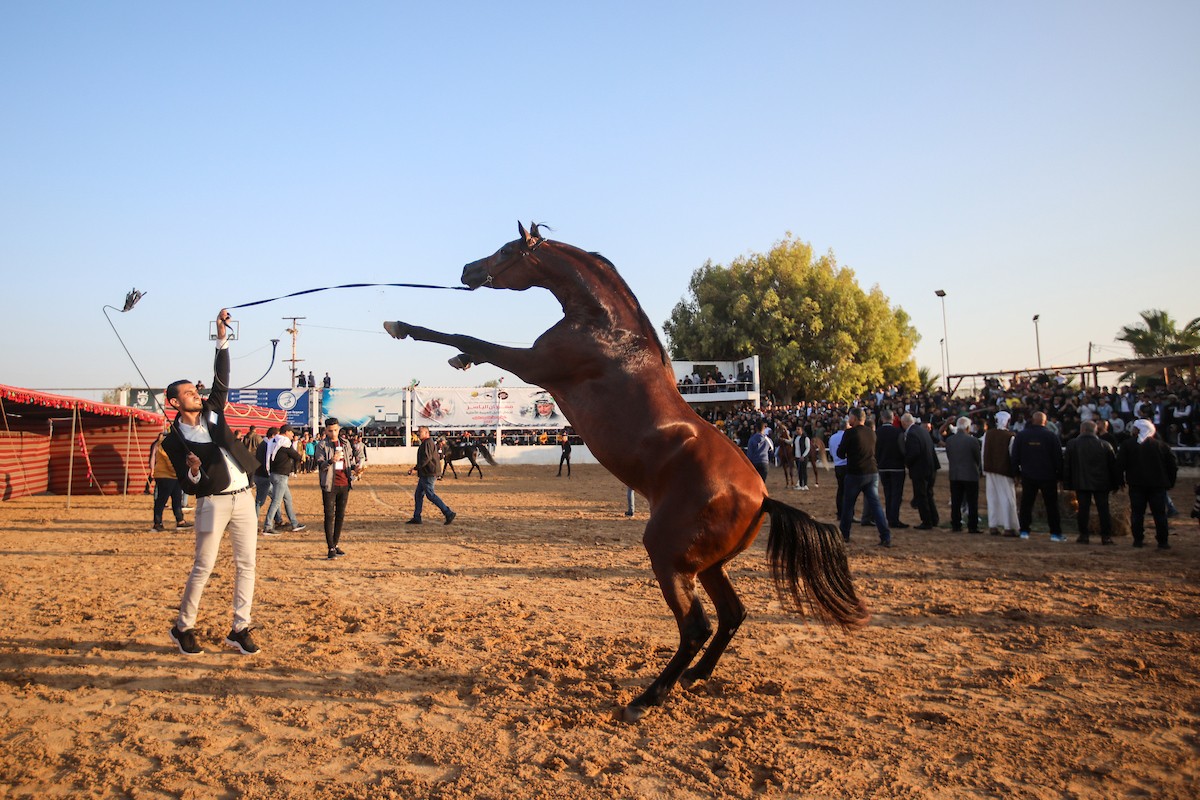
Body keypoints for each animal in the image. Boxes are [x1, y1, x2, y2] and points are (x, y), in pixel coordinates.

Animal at [384, 221, 864, 724]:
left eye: (508, 249)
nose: (468, 270)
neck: (607, 328)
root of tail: (762, 497)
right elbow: (473, 348)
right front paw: (457, 360)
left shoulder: (535, 363)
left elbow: (471, 338)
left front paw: (402, 327)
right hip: (707, 565)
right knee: (732, 616)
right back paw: (695, 677)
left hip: (668, 555)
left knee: (696, 627)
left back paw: (647, 698)